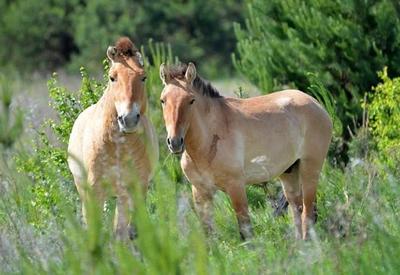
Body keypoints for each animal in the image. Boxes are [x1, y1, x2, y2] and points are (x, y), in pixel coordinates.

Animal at [68, 37, 159, 240]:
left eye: (143, 77)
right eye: (112, 77)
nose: (128, 119)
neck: (118, 146)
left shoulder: (138, 187)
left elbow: (129, 230)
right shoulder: (94, 189)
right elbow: (95, 228)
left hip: (122, 195)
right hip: (85, 189)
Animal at [159, 63, 332, 242]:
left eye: (191, 100)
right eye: (163, 100)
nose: (175, 142)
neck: (208, 142)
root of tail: (316, 104)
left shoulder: (236, 187)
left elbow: (245, 231)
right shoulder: (200, 191)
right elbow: (208, 234)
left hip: (310, 170)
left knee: (308, 214)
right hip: (289, 173)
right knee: (297, 212)